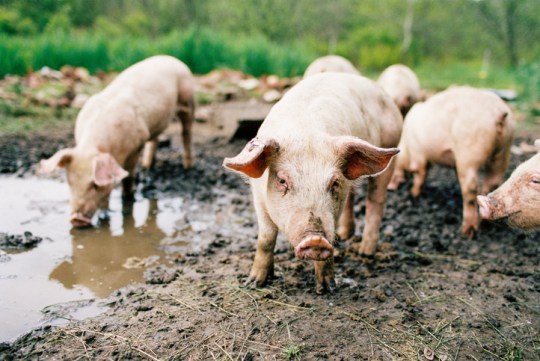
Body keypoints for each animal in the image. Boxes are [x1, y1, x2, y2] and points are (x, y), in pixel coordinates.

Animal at [40, 54, 196, 225]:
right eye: (70, 182)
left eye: (94, 185)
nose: (76, 219)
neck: (96, 146)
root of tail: (171, 58)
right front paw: (104, 217)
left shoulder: (136, 145)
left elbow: (128, 176)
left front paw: (128, 198)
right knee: (155, 138)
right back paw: (147, 166)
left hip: (188, 100)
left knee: (186, 132)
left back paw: (188, 166)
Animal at [223, 72, 400, 292]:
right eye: (282, 180)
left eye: (334, 182)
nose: (316, 239)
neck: (305, 131)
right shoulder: (258, 197)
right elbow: (266, 238)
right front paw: (254, 283)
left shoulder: (335, 207)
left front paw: (327, 288)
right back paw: (344, 235)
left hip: (390, 145)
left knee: (375, 200)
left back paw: (364, 252)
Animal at [388, 84, 516, 236]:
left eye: (394, 162)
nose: (390, 188)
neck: (406, 144)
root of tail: (498, 113)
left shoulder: (419, 155)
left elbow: (420, 175)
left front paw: (413, 194)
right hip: (503, 152)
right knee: (493, 182)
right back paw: (484, 221)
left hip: (469, 153)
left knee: (471, 188)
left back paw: (467, 231)